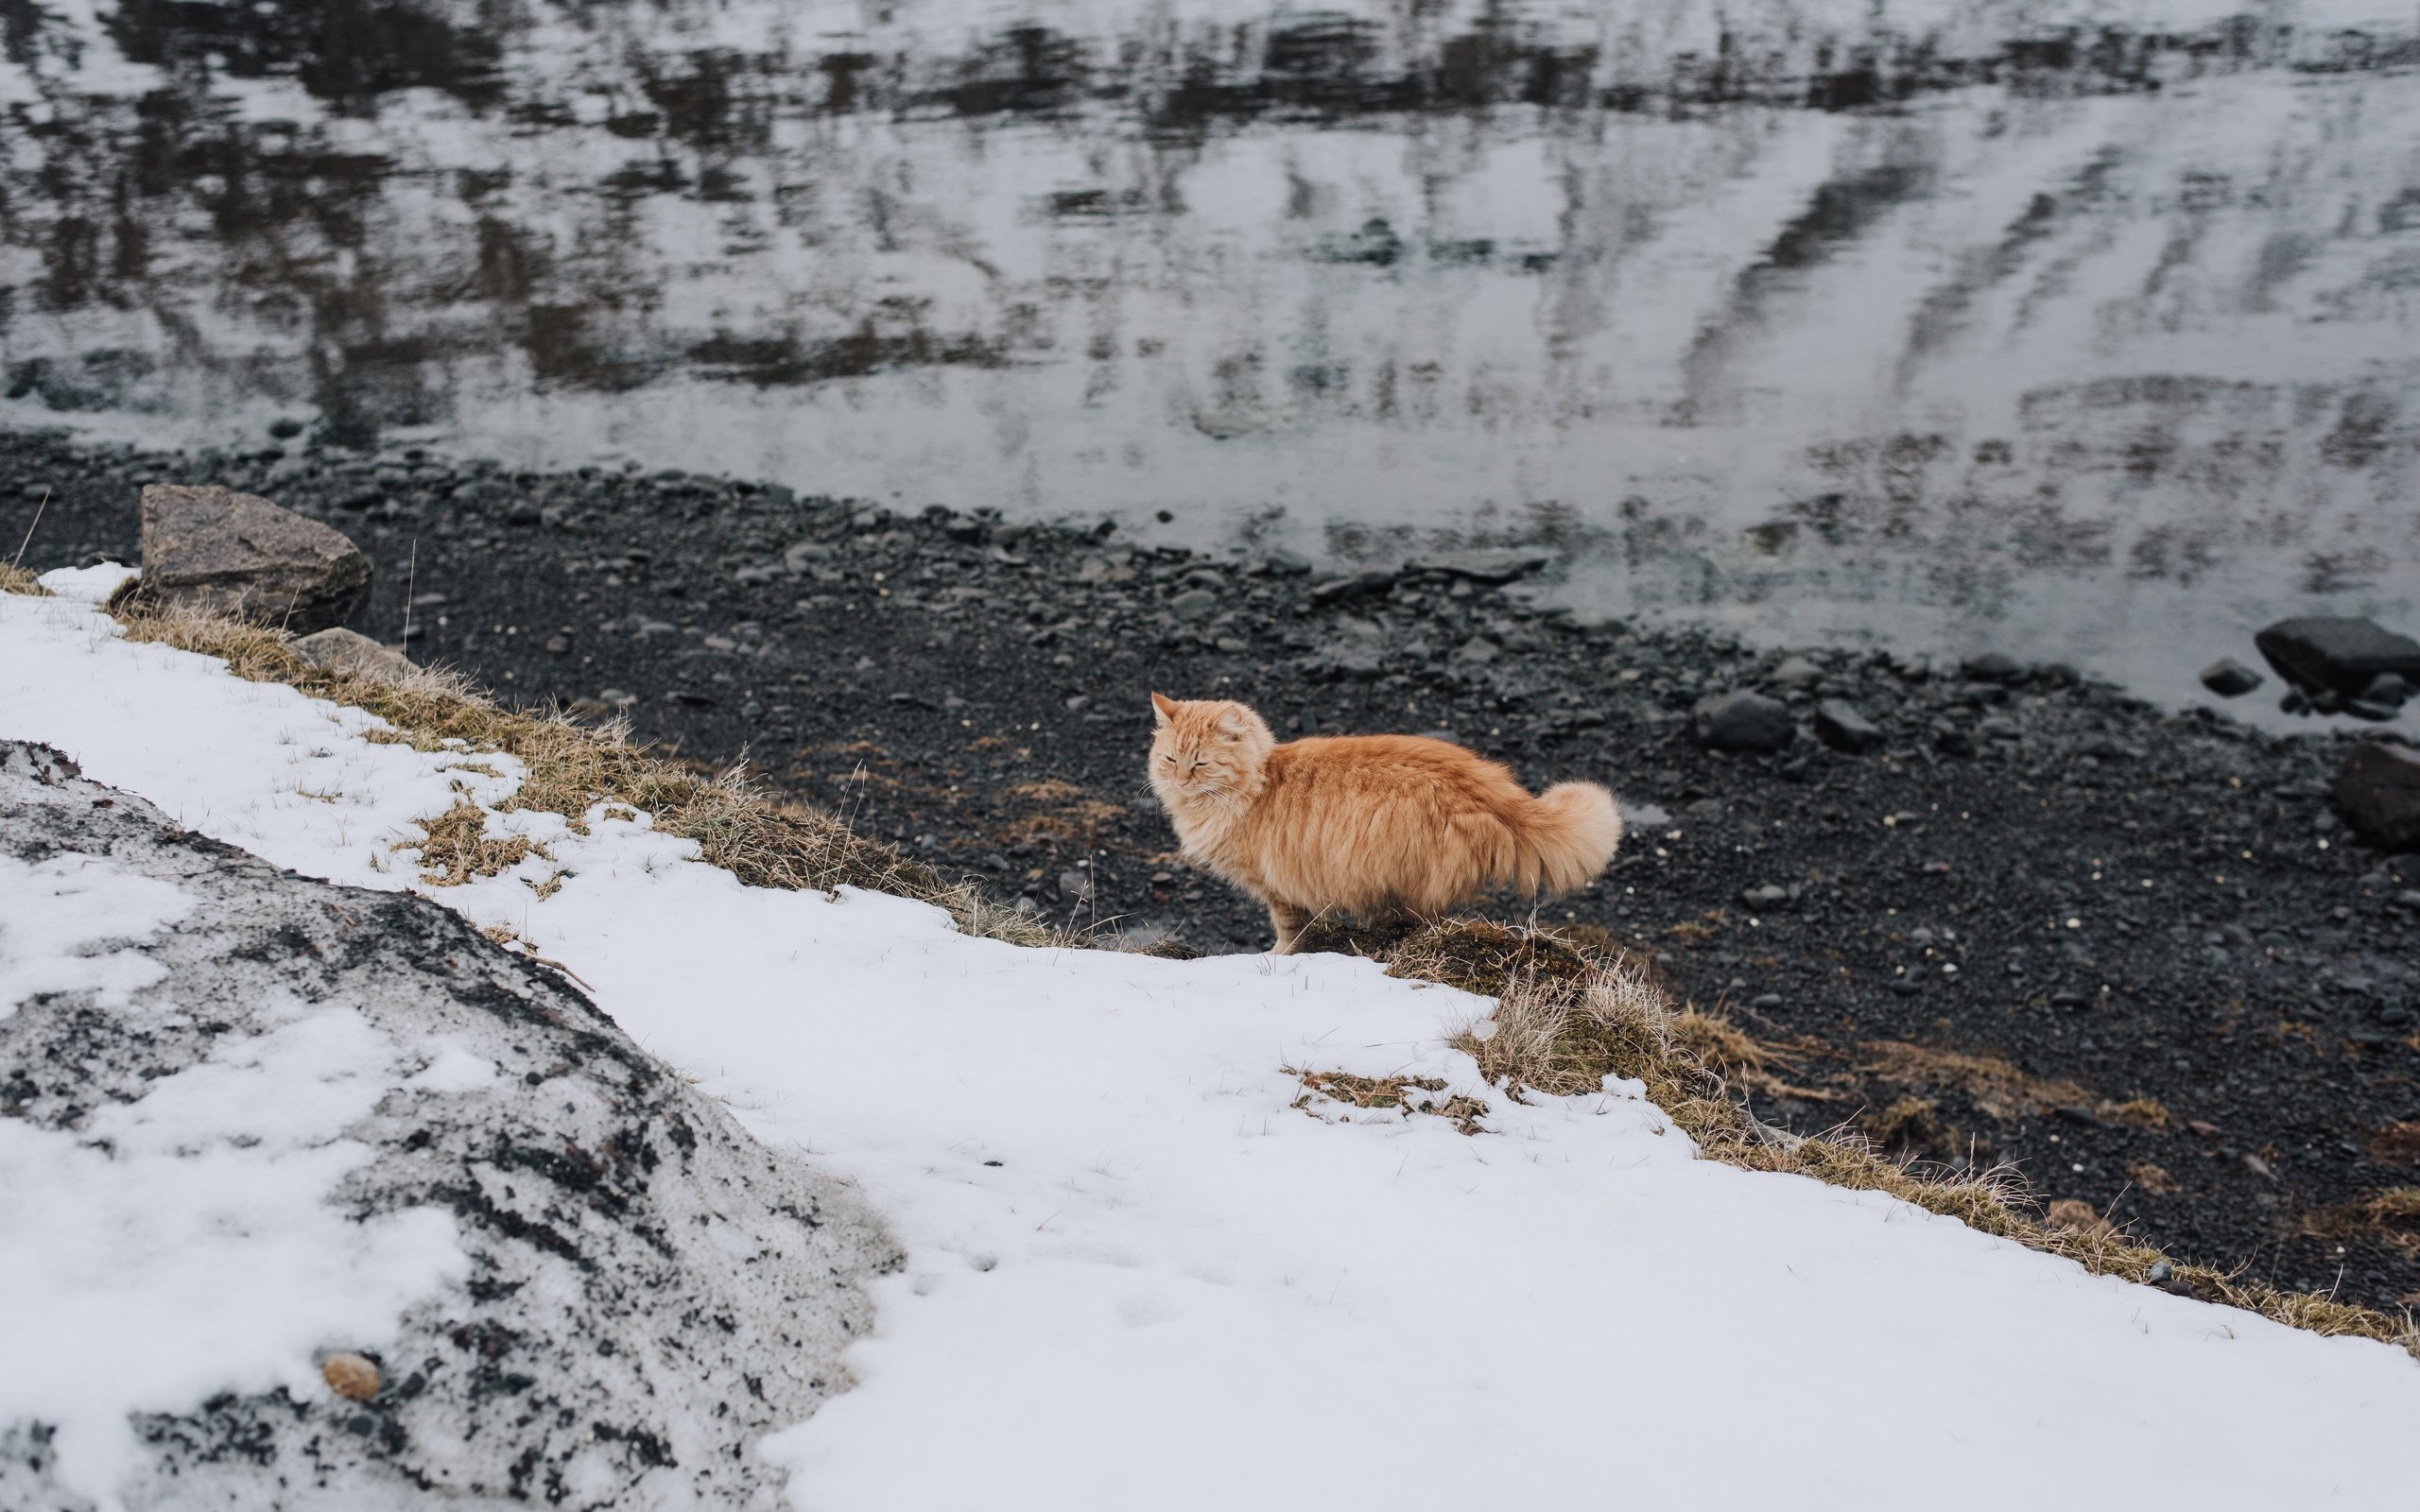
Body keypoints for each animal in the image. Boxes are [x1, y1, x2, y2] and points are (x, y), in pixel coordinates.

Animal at [1147, 692, 1626, 948]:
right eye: (1170, 759)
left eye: (1201, 764)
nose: (1180, 781)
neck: (1259, 783)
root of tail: (1490, 790)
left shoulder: (1277, 888)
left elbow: (1290, 934)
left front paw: (1276, 957)